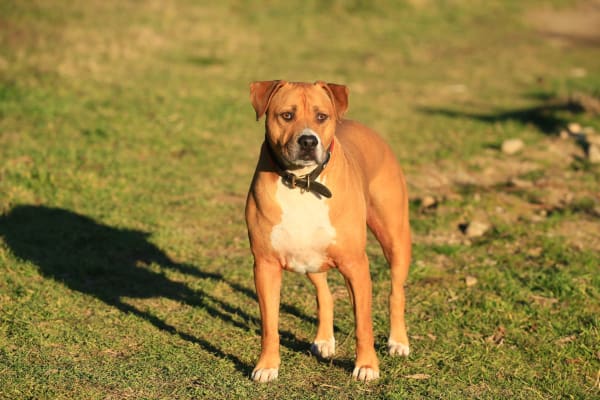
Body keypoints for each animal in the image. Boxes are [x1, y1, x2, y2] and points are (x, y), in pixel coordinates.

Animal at [246, 79, 410, 382]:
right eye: (286, 115)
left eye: (321, 116)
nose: (308, 141)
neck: (302, 182)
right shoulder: (265, 265)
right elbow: (269, 325)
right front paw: (267, 366)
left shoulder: (356, 264)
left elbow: (363, 324)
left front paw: (367, 366)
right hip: (311, 256)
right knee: (324, 294)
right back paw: (324, 339)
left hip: (395, 239)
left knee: (396, 291)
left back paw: (398, 341)